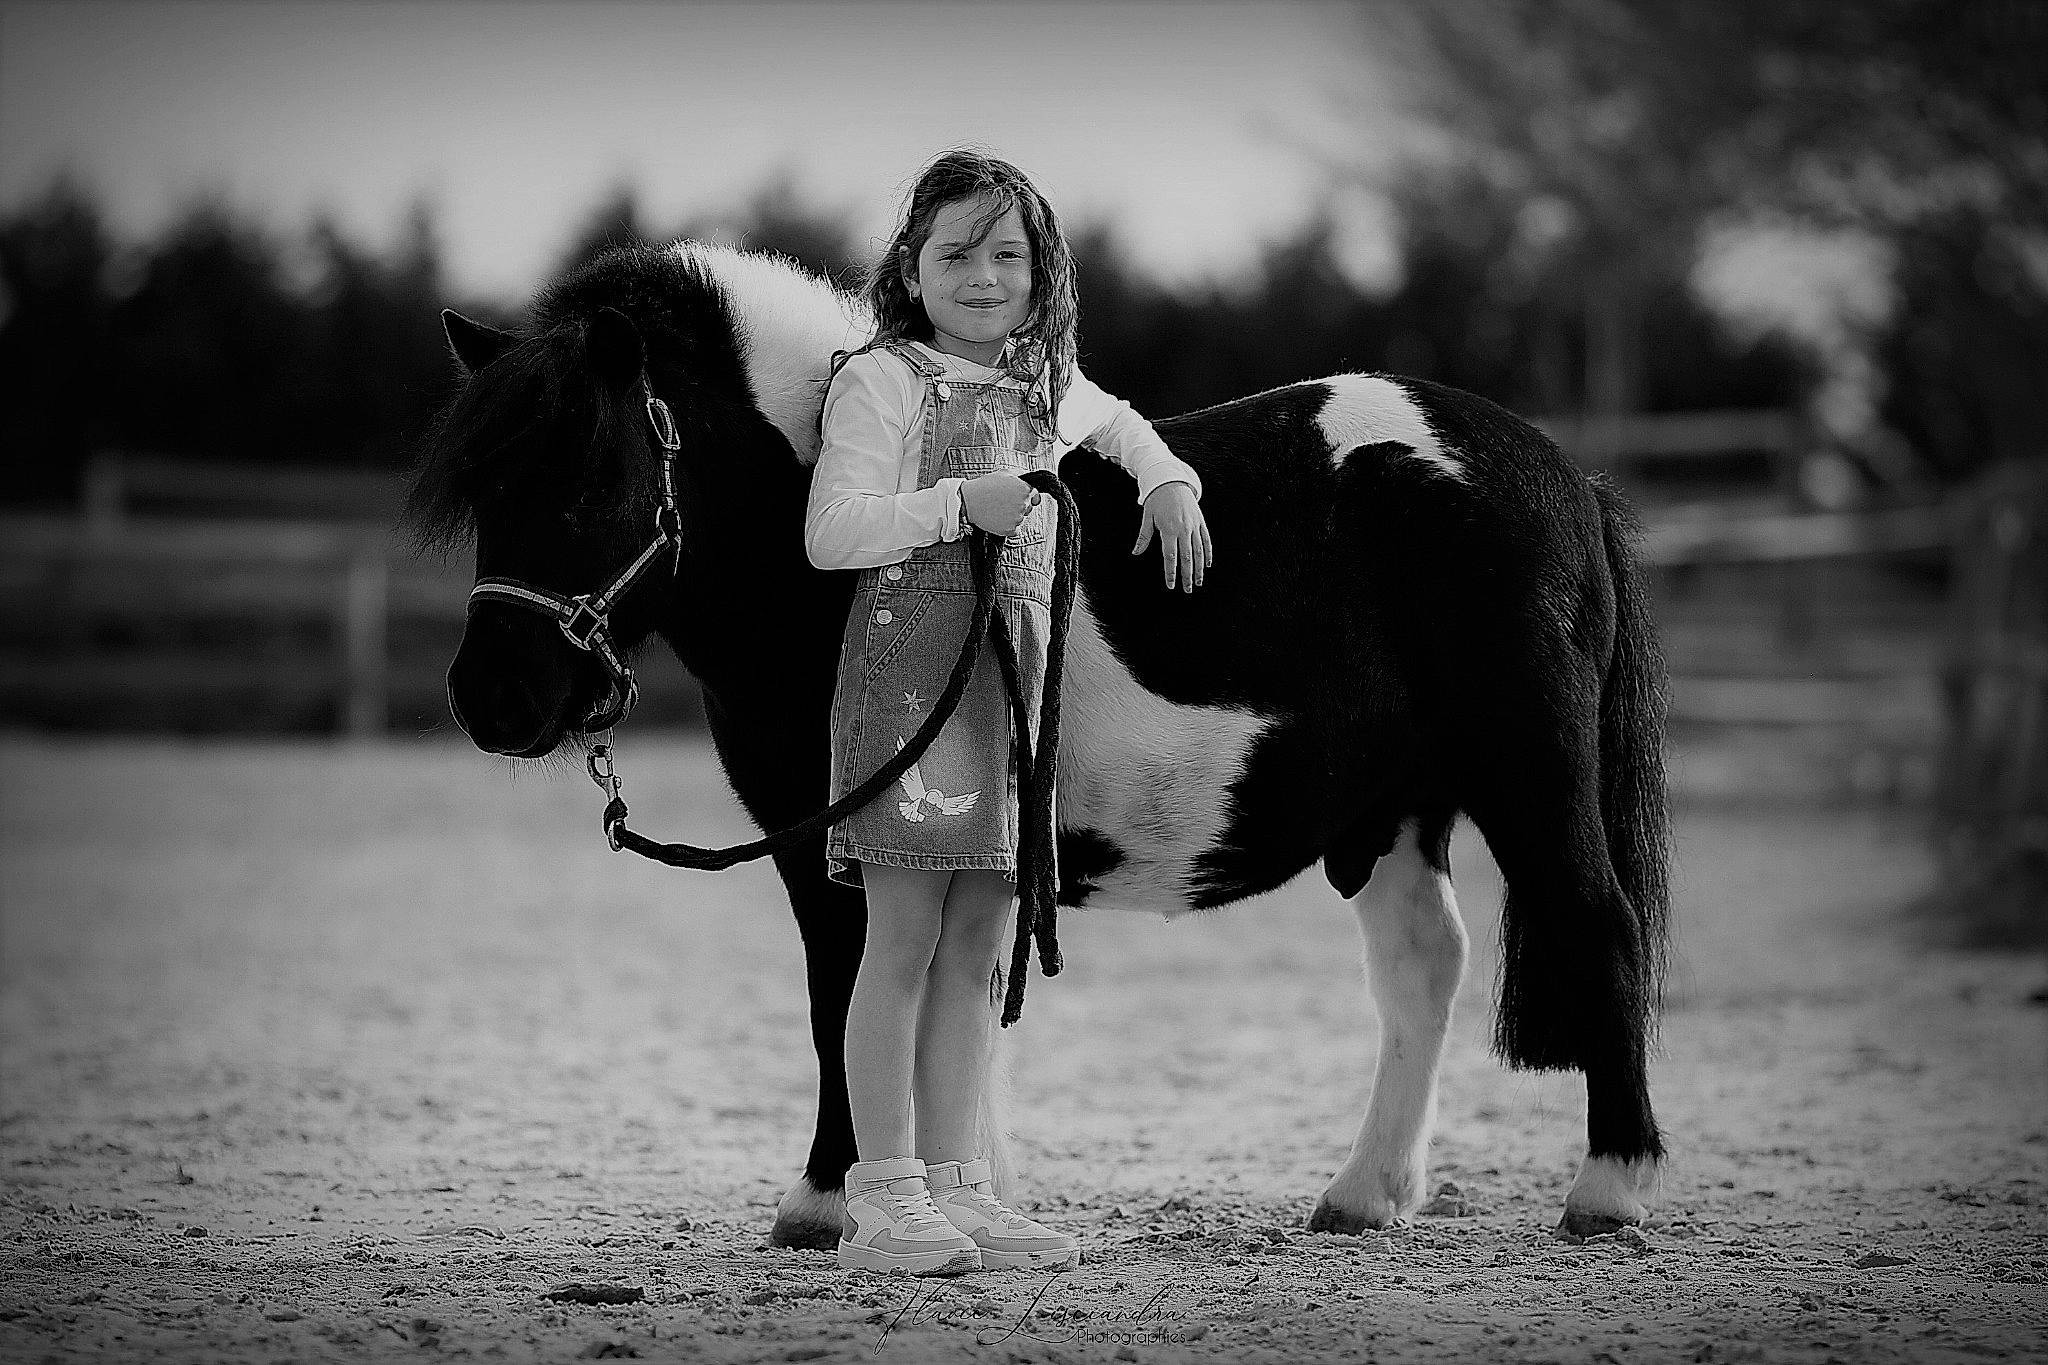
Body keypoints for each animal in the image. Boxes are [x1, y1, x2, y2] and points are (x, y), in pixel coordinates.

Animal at [408, 241, 1672, 1247]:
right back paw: (1363, 1196)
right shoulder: (837, 842)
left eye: (590, 482)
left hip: (1525, 766)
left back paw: (1607, 1191)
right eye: (486, 495)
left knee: (1595, 921)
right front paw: (949, 1194)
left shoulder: (859, 843)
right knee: (1422, 965)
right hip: (1392, 806)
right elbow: (896, 1004)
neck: (830, 547)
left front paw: (831, 1203)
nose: (493, 700)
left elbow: (851, 995)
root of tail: (1554, 473)